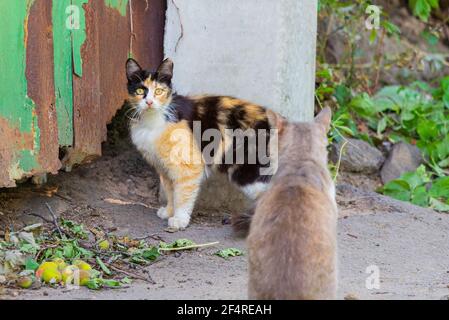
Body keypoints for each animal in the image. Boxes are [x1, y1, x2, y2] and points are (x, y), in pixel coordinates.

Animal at [126, 57, 278, 228]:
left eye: (159, 91)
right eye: (140, 91)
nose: (149, 102)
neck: (153, 120)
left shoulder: (188, 165)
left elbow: (182, 195)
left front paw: (179, 219)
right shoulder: (163, 168)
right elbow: (171, 192)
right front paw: (169, 211)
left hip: (249, 171)